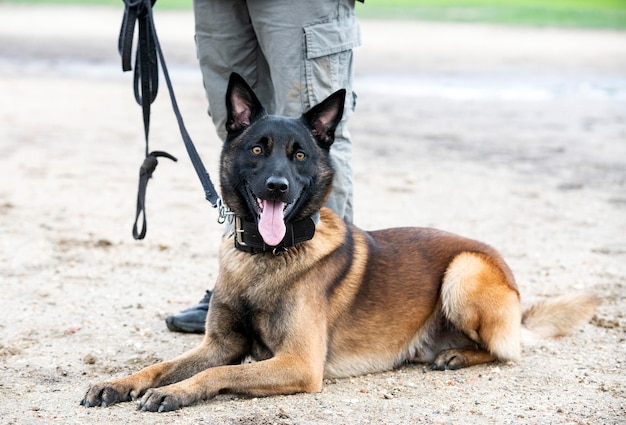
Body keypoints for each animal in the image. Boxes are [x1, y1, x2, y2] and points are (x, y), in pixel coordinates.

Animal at [80, 73, 596, 410]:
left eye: (299, 155)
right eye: (257, 149)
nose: (277, 187)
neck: (267, 257)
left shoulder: (298, 363)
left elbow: (219, 373)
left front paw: (172, 393)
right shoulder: (219, 344)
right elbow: (162, 364)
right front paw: (120, 383)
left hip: (464, 270)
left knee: (507, 351)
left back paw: (455, 354)